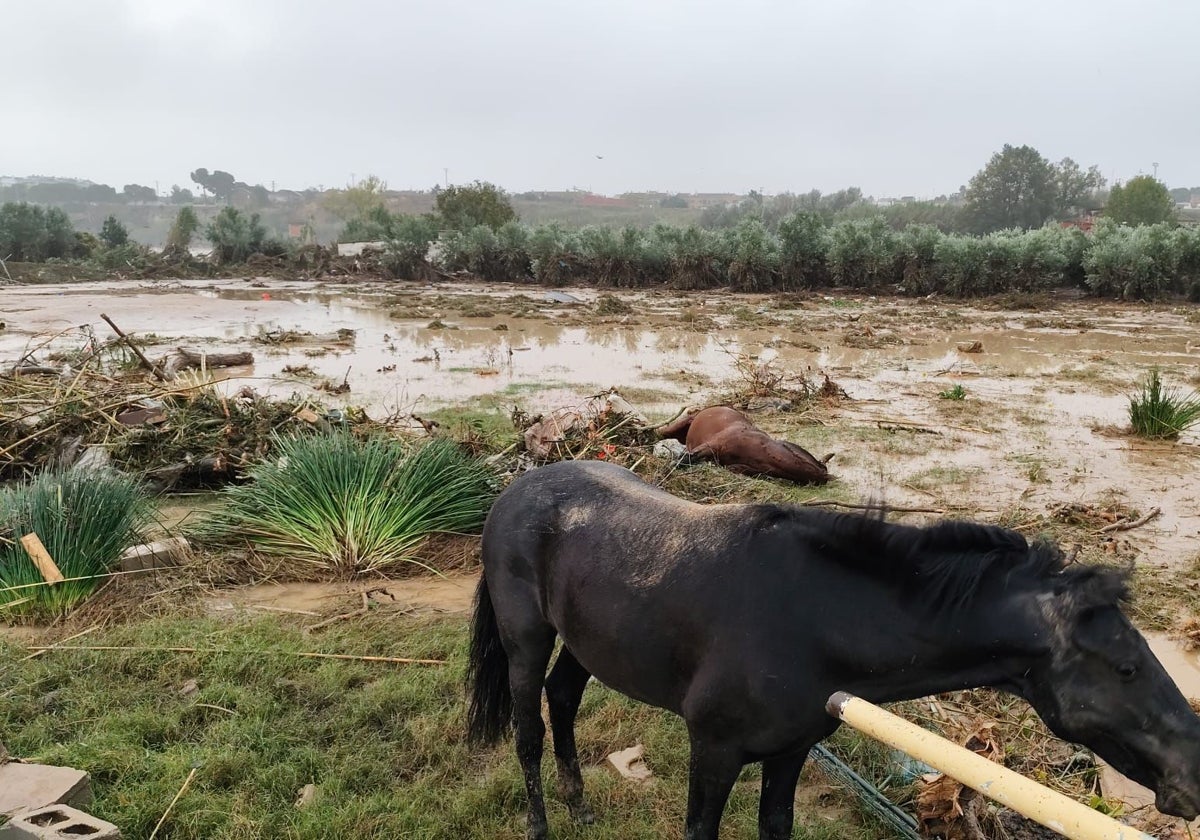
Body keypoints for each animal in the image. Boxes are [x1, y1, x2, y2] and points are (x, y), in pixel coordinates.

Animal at [465, 458, 1200, 840]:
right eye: (1128, 667)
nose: (1194, 776)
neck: (807, 621)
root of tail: (517, 488)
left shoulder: (789, 754)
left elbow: (776, 827)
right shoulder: (714, 752)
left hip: (585, 643)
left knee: (563, 699)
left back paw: (580, 806)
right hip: (526, 639)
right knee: (529, 728)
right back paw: (541, 824)